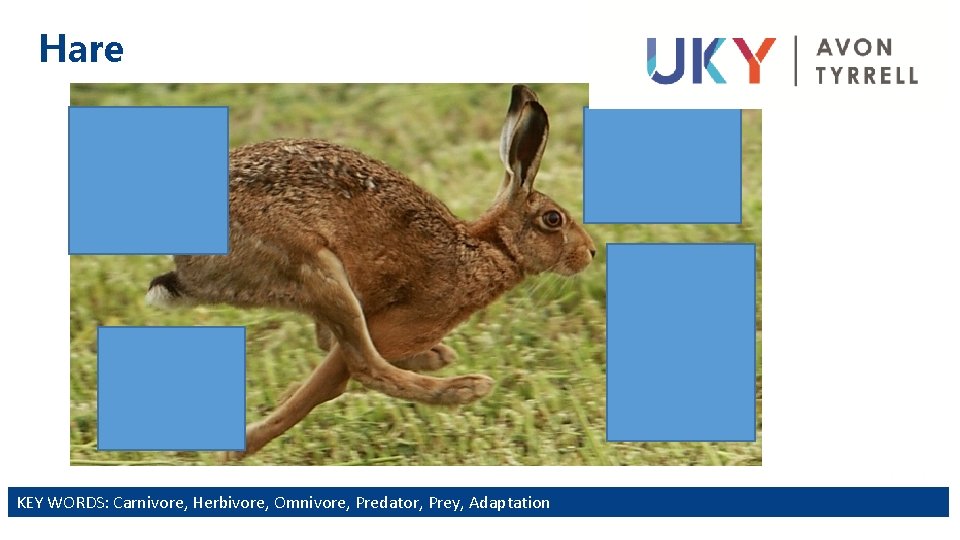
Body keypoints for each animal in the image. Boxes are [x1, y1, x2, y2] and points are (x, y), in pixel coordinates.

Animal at [145, 85, 596, 459]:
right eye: (553, 219)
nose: (590, 252)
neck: (490, 247)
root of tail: (185, 270)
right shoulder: (398, 322)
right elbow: (334, 378)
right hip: (317, 270)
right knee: (365, 367)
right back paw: (466, 388)